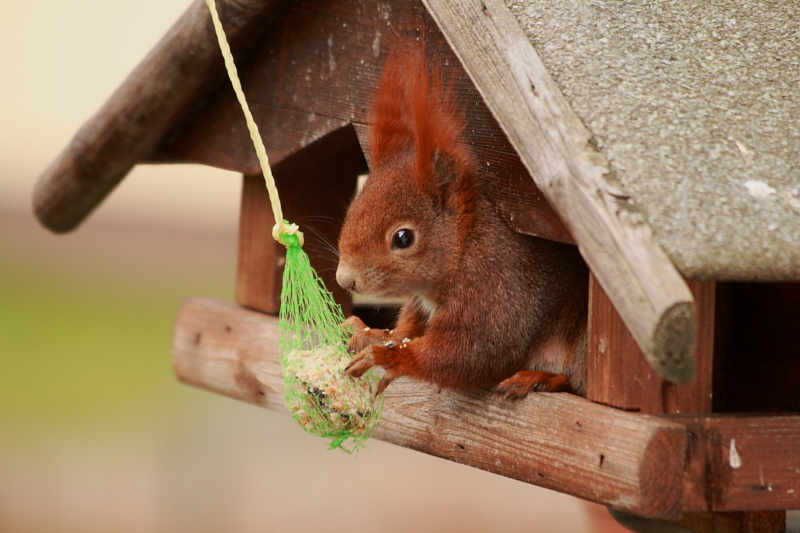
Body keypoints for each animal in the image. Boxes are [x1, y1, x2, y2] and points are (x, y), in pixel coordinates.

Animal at [334, 46, 592, 394]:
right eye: (353, 207)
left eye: (403, 238)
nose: (345, 279)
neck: (464, 245)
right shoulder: (420, 303)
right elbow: (408, 328)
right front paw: (372, 333)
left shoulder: (496, 287)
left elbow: (472, 353)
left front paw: (389, 356)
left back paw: (540, 377)